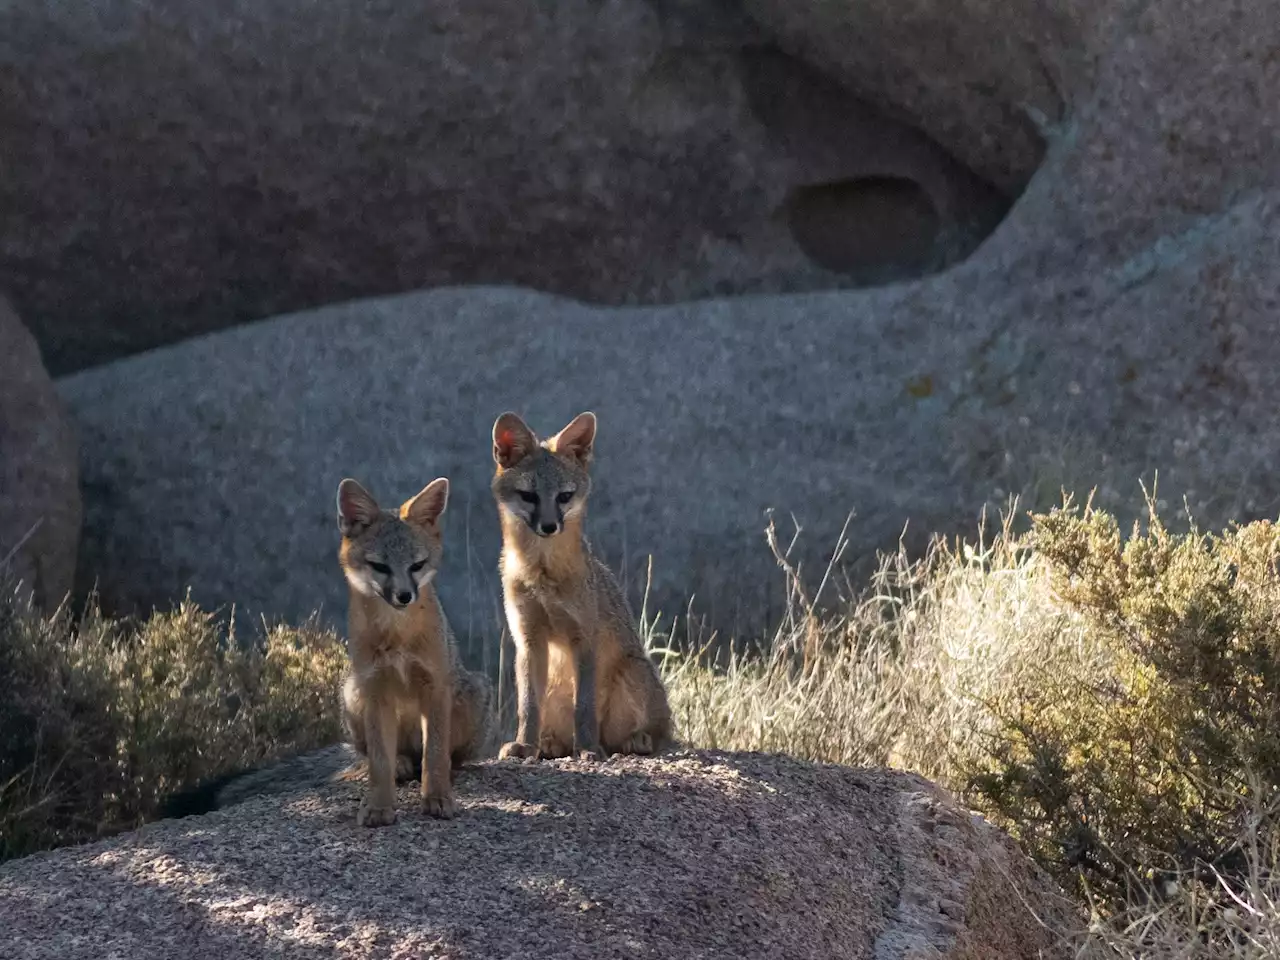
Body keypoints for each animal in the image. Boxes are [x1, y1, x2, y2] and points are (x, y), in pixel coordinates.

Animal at [335, 478, 488, 824]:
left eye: (417, 565)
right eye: (379, 566)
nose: (404, 596)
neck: (398, 634)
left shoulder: (435, 687)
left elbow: (435, 755)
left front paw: (438, 798)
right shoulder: (375, 689)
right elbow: (379, 761)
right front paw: (379, 806)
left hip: (471, 694)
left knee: (443, 756)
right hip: (352, 693)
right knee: (384, 755)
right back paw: (400, 764)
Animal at [486, 409, 670, 762]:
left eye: (564, 497)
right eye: (528, 496)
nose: (548, 526)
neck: (542, 575)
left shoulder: (584, 639)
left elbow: (583, 707)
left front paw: (586, 748)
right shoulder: (528, 639)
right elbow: (528, 706)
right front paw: (525, 744)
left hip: (633, 674)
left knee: (641, 737)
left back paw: (631, 741)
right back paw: (549, 744)